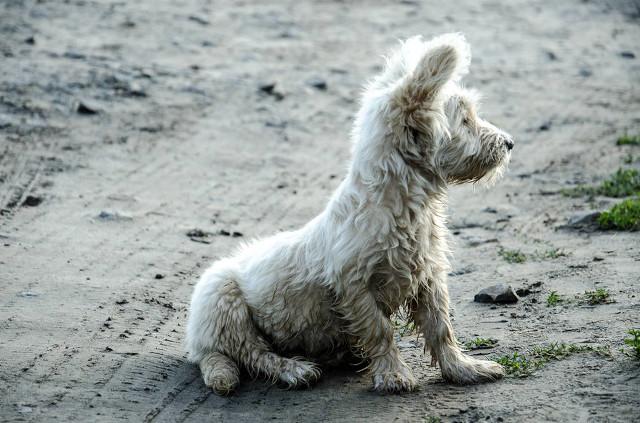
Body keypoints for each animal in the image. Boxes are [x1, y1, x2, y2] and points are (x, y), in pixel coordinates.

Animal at [186, 32, 516, 394]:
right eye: (466, 120)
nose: (509, 143)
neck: (405, 205)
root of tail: (198, 346)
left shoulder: (428, 277)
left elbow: (441, 327)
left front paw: (464, 369)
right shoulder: (353, 285)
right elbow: (380, 330)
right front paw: (393, 375)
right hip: (223, 302)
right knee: (253, 352)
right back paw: (294, 369)